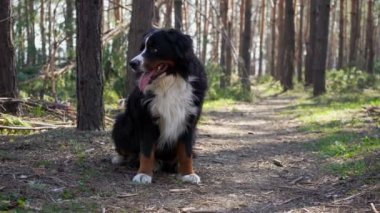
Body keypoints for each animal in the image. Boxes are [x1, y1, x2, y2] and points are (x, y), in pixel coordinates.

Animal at [111, 28, 208, 185]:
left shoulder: (189, 119)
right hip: (122, 124)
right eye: (142, 48)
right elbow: (146, 151)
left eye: (154, 49)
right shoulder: (147, 119)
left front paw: (188, 173)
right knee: (127, 150)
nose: (133, 63)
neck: (170, 83)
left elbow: (186, 152)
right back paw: (122, 158)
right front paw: (143, 173)